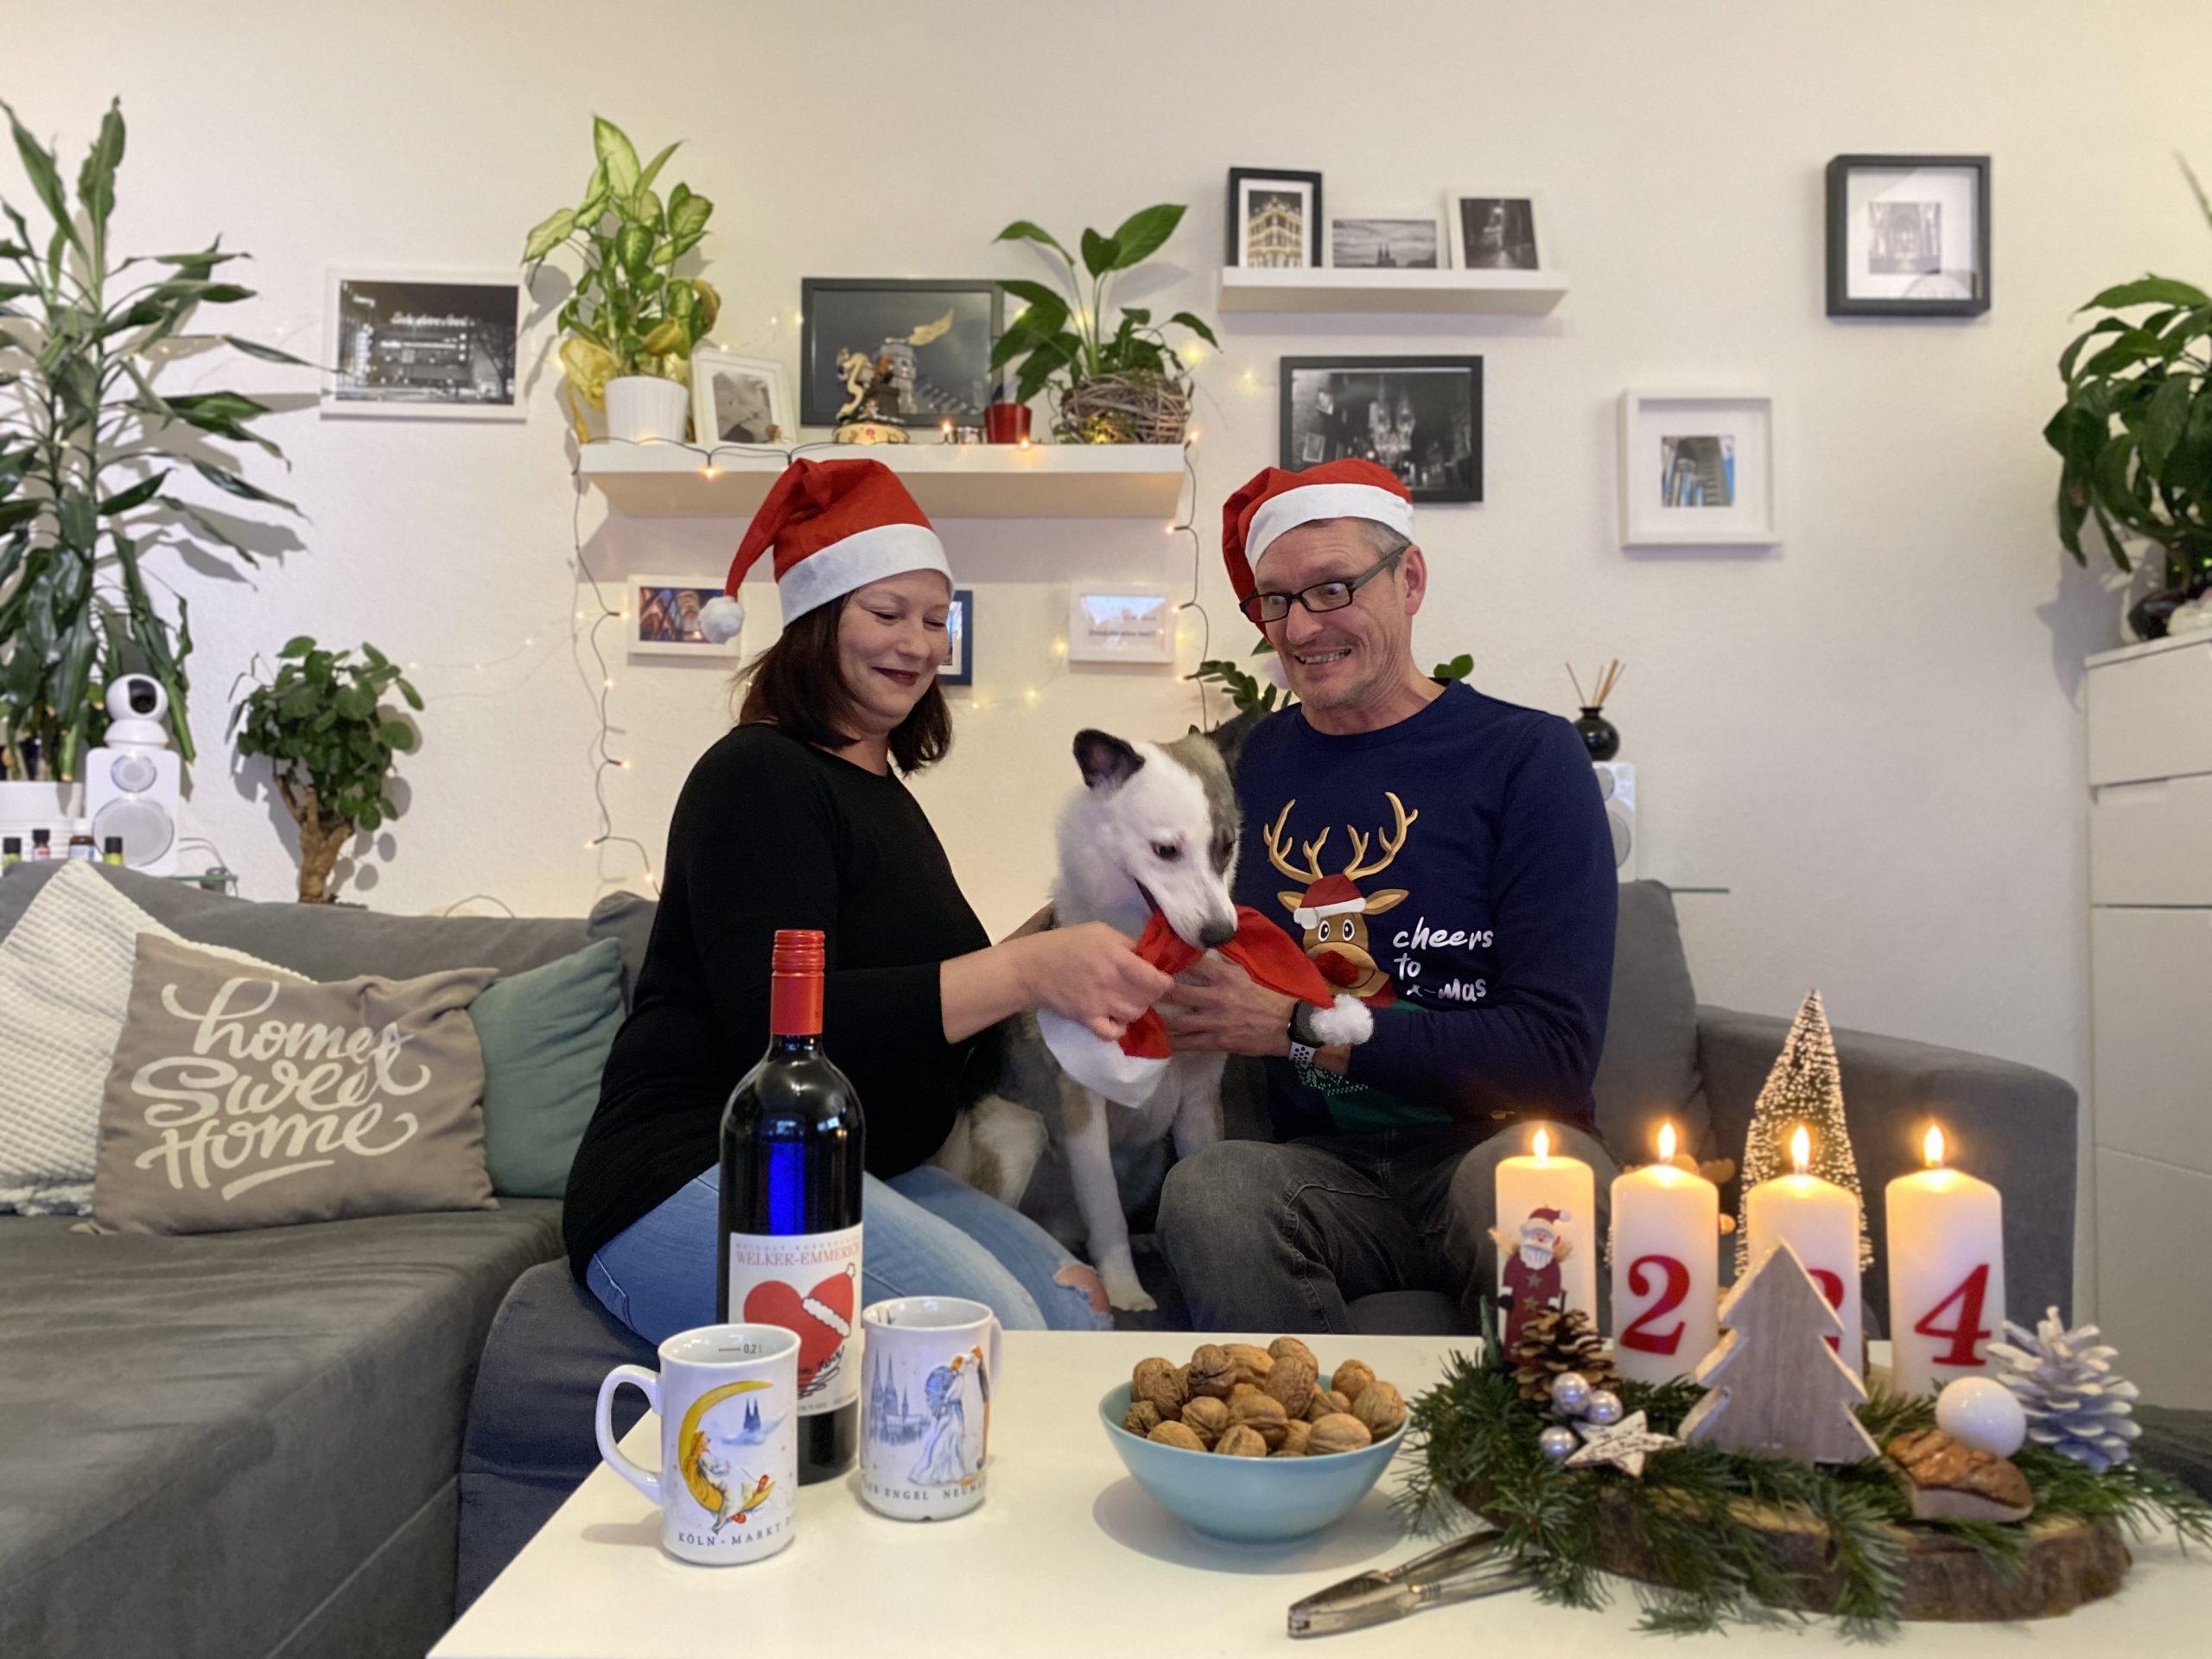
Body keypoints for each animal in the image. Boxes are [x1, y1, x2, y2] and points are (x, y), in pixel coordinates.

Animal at [933, 727, 1241, 1311]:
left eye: (1226, 846)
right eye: (1165, 851)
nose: (1221, 934)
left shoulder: (1199, 1103)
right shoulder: (1084, 1110)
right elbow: (1106, 1213)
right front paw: (1124, 1290)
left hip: (1147, 1160)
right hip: (1016, 1135)